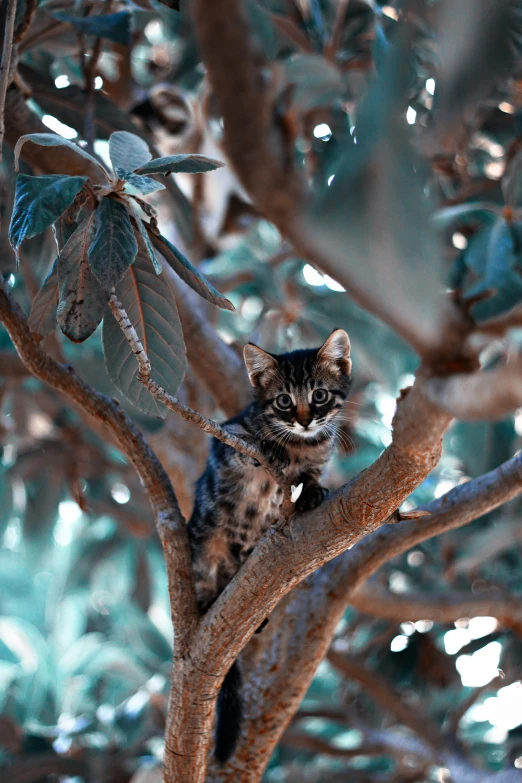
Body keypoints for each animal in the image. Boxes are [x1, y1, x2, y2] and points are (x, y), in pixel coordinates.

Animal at [185, 328, 352, 764]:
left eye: (319, 395)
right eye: (283, 401)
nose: (306, 419)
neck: (301, 444)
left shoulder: (317, 458)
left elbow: (310, 476)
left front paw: (311, 492)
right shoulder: (227, 437)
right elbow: (246, 444)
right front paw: (270, 447)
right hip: (205, 549)